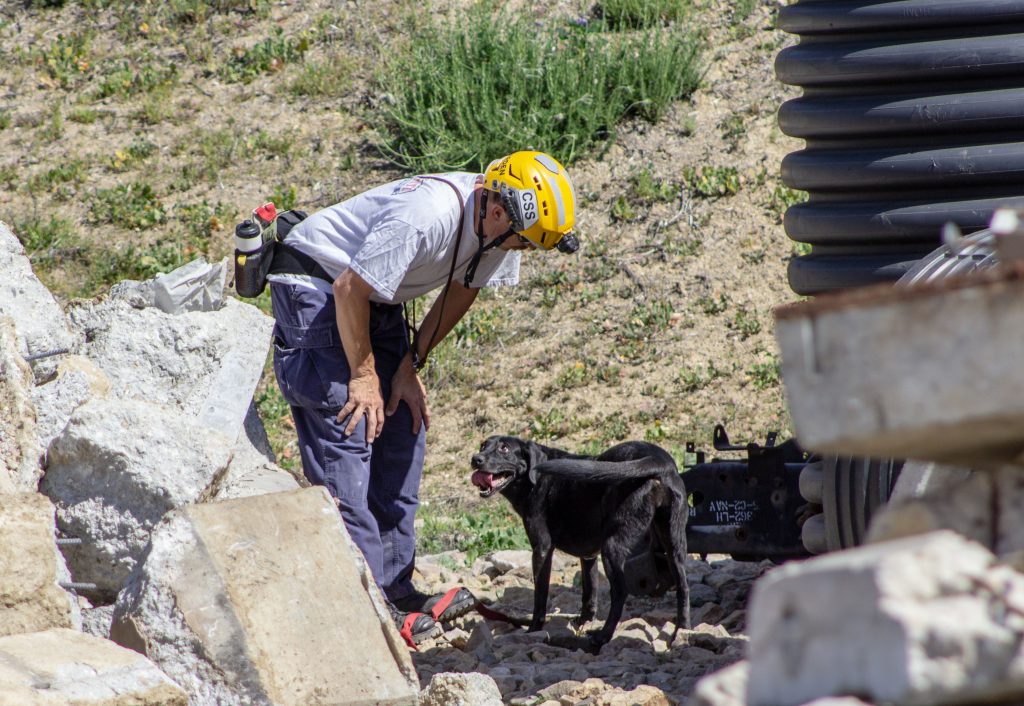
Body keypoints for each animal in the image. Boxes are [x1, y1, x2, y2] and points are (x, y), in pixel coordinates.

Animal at [471, 434, 688, 651]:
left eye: (504, 448)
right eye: (483, 446)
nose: (475, 459)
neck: (534, 480)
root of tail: (657, 457)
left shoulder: (541, 549)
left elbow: (540, 596)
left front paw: (533, 629)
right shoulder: (588, 555)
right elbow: (589, 591)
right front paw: (584, 621)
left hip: (613, 546)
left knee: (620, 592)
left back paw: (602, 637)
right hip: (674, 543)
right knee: (683, 586)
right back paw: (682, 631)